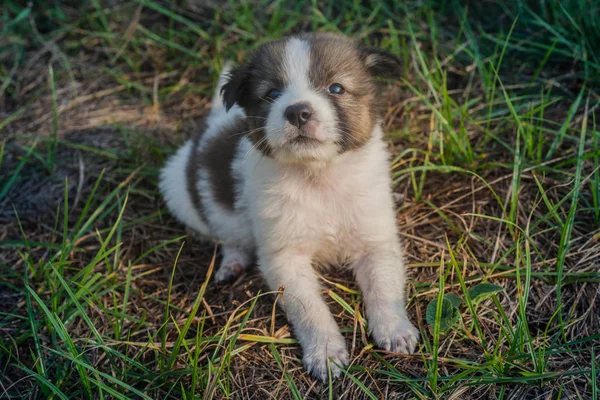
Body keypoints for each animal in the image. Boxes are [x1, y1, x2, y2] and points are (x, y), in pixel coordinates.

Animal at [162, 33, 420, 382]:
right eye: (272, 93)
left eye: (335, 88)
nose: (298, 112)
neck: (318, 177)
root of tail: (212, 123)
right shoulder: (284, 258)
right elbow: (310, 309)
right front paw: (325, 352)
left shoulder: (375, 241)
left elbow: (384, 289)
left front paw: (394, 330)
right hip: (179, 191)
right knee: (225, 236)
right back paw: (232, 263)